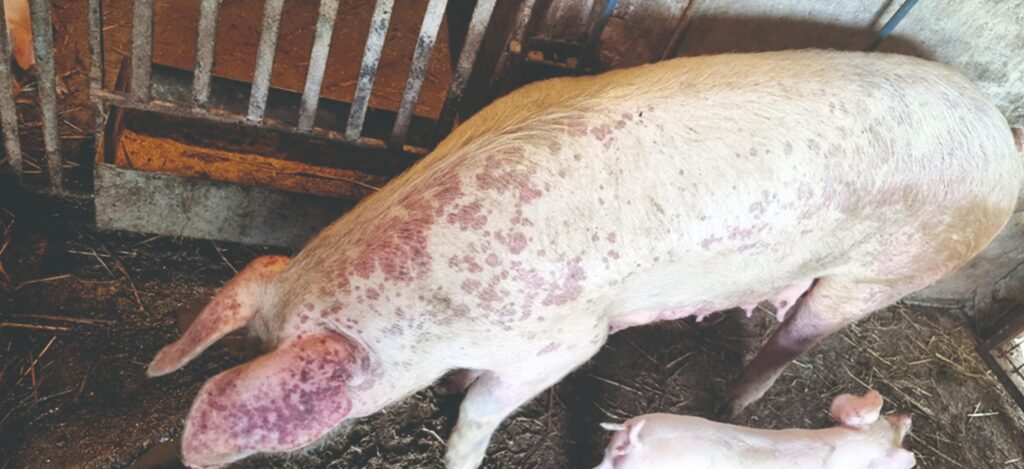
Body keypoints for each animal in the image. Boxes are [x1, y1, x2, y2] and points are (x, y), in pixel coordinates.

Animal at [146, 49, 1023, 469]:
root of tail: (1001, 138)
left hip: (887, 270)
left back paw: (735, 399)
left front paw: (459, 444)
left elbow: (483, 408)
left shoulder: (563, 340)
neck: (437, 308)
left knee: (799, 336)